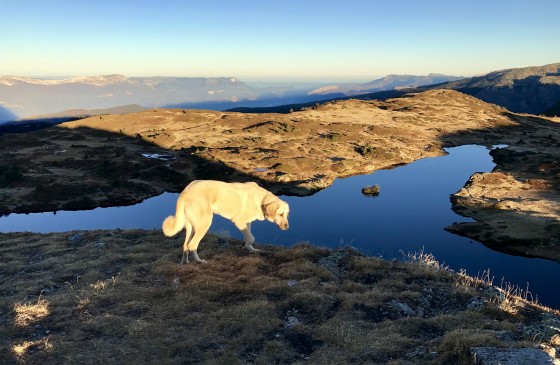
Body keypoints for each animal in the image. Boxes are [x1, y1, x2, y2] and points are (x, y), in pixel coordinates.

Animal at [162, 178, 290, 262]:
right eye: (280, 214)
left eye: (287, 215)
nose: (287, 227)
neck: (261, 200)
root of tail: (184, 192)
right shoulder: (238, 221)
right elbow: (251, 238)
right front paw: (245, 245)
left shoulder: (247, 223)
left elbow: (249, 236)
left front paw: (250, 249)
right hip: (204, 223)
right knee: (192, 244)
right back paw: (199, 262)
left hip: (191, 225)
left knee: (185, 245)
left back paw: (185, 262)